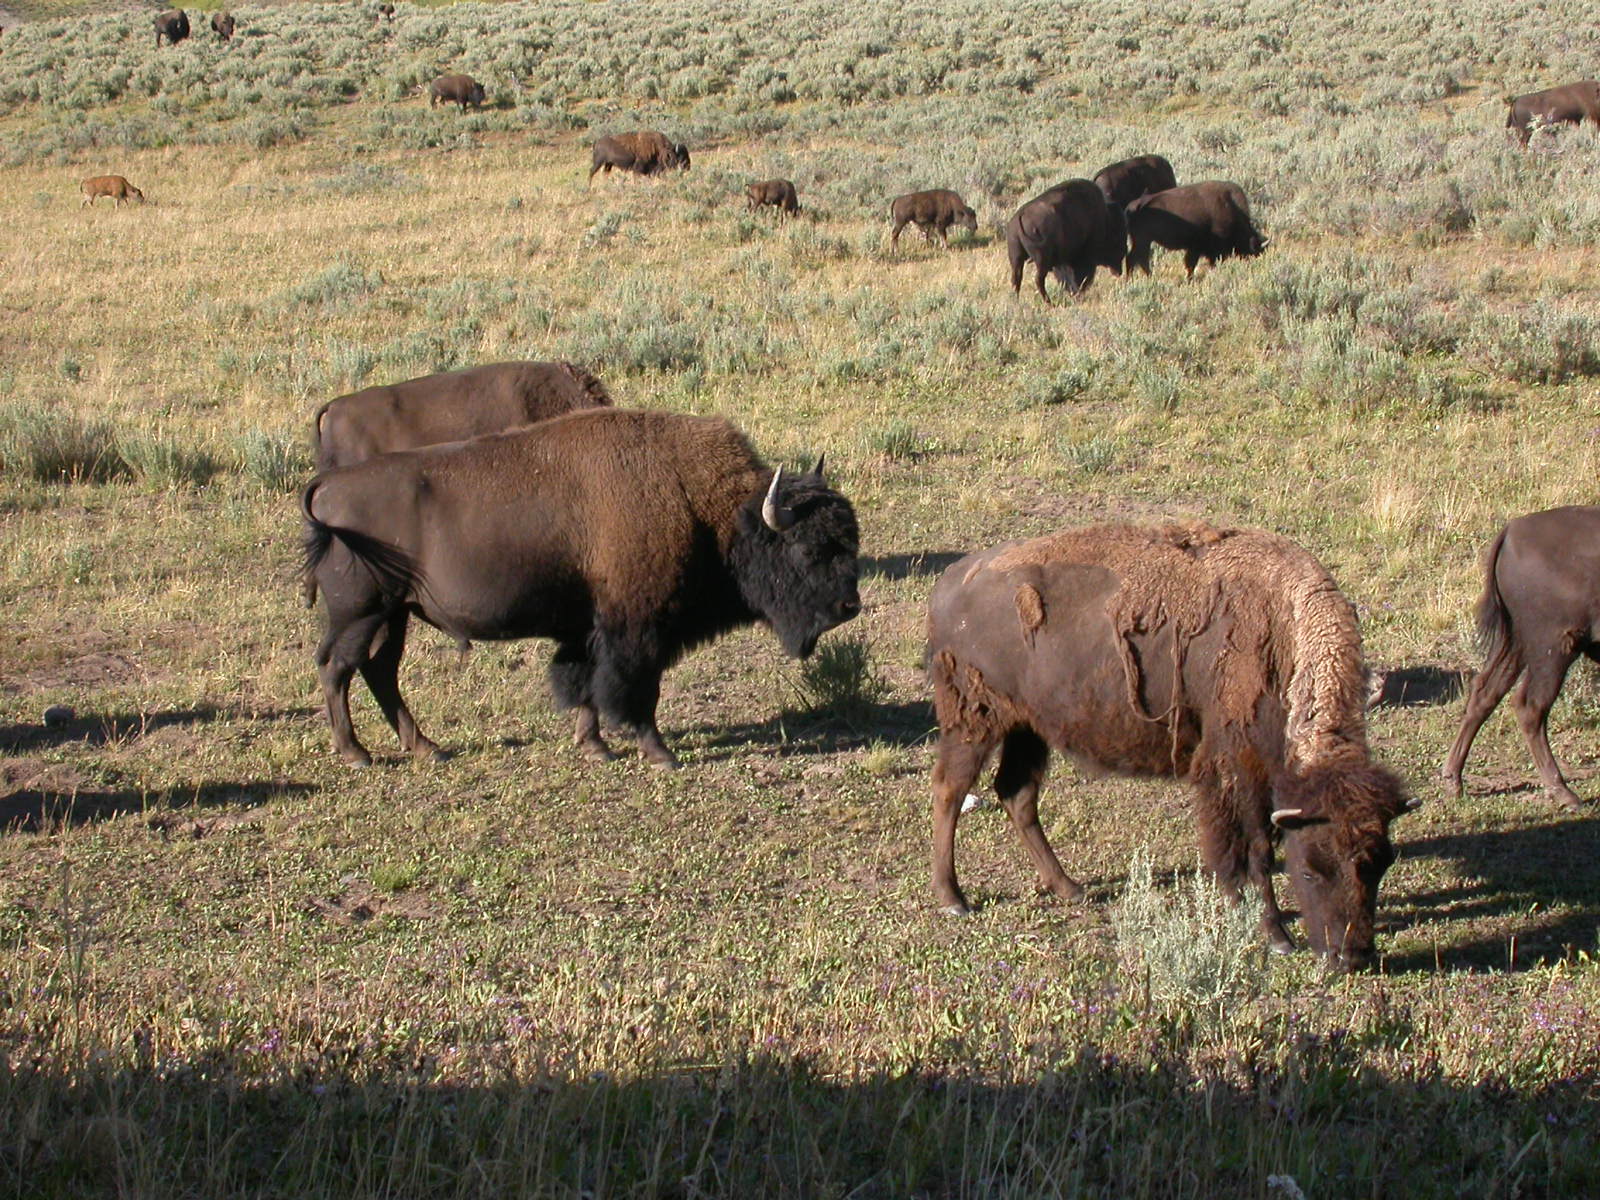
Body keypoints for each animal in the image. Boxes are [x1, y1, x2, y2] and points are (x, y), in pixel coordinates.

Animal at [303, 410, 861, 768]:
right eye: (807, 550)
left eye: (850, 540)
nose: (848, 606)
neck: (708, 509)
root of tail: (329, 486)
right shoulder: (636, 630)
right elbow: (634, 690)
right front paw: (661, 754)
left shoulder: (588, 629)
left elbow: (584, 685)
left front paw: (594, 746)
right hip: (362, 613)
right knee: (338, 668)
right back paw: (357, 754)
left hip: (393, 615)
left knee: (378, 672)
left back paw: (427, 748)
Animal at [927, 520, 1415, 970]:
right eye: (1313, 867)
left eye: (1380, 863)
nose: (1351, 957)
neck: (1284, 631)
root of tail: (954, 578)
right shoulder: (1240, 765)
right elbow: (1254, 847)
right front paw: (1274, 934)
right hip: (975, 721)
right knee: (951, 790)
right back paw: (953, 899)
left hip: (1029, 728)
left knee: (1017, 794)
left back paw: (1069, 888)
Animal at [1127, 181, 1266, 279]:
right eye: (1253, 250)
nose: (1250, 265)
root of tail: (1133, 206)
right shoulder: (1200, 248)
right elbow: (1192, 264)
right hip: (1142, 240)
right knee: (1136, 258)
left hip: (1144, 241)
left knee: (1139, 258)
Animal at [1442, 506, 1600, 810]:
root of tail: (1511, 532)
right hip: (1555, 649)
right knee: (1530, 706)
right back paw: (1564, 793)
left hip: (1517, 643)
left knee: (1485, 691)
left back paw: (1453, 780)